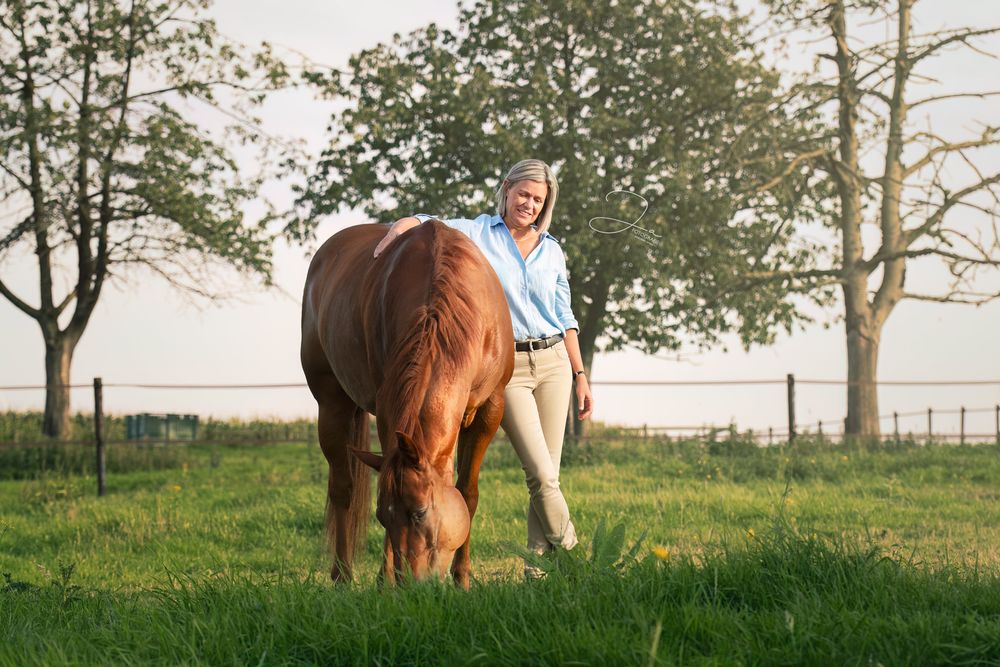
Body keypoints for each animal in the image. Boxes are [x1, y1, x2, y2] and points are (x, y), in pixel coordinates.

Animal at [300, 219, 514, 588]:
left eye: (420, 512)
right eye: (382, 517)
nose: (412, 585)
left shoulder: (490, 409)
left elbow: (467, 493)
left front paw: (462, 578)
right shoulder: (389, 411)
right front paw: (384, 579)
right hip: (330, 404)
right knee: (342, 488)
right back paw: (343, 576)